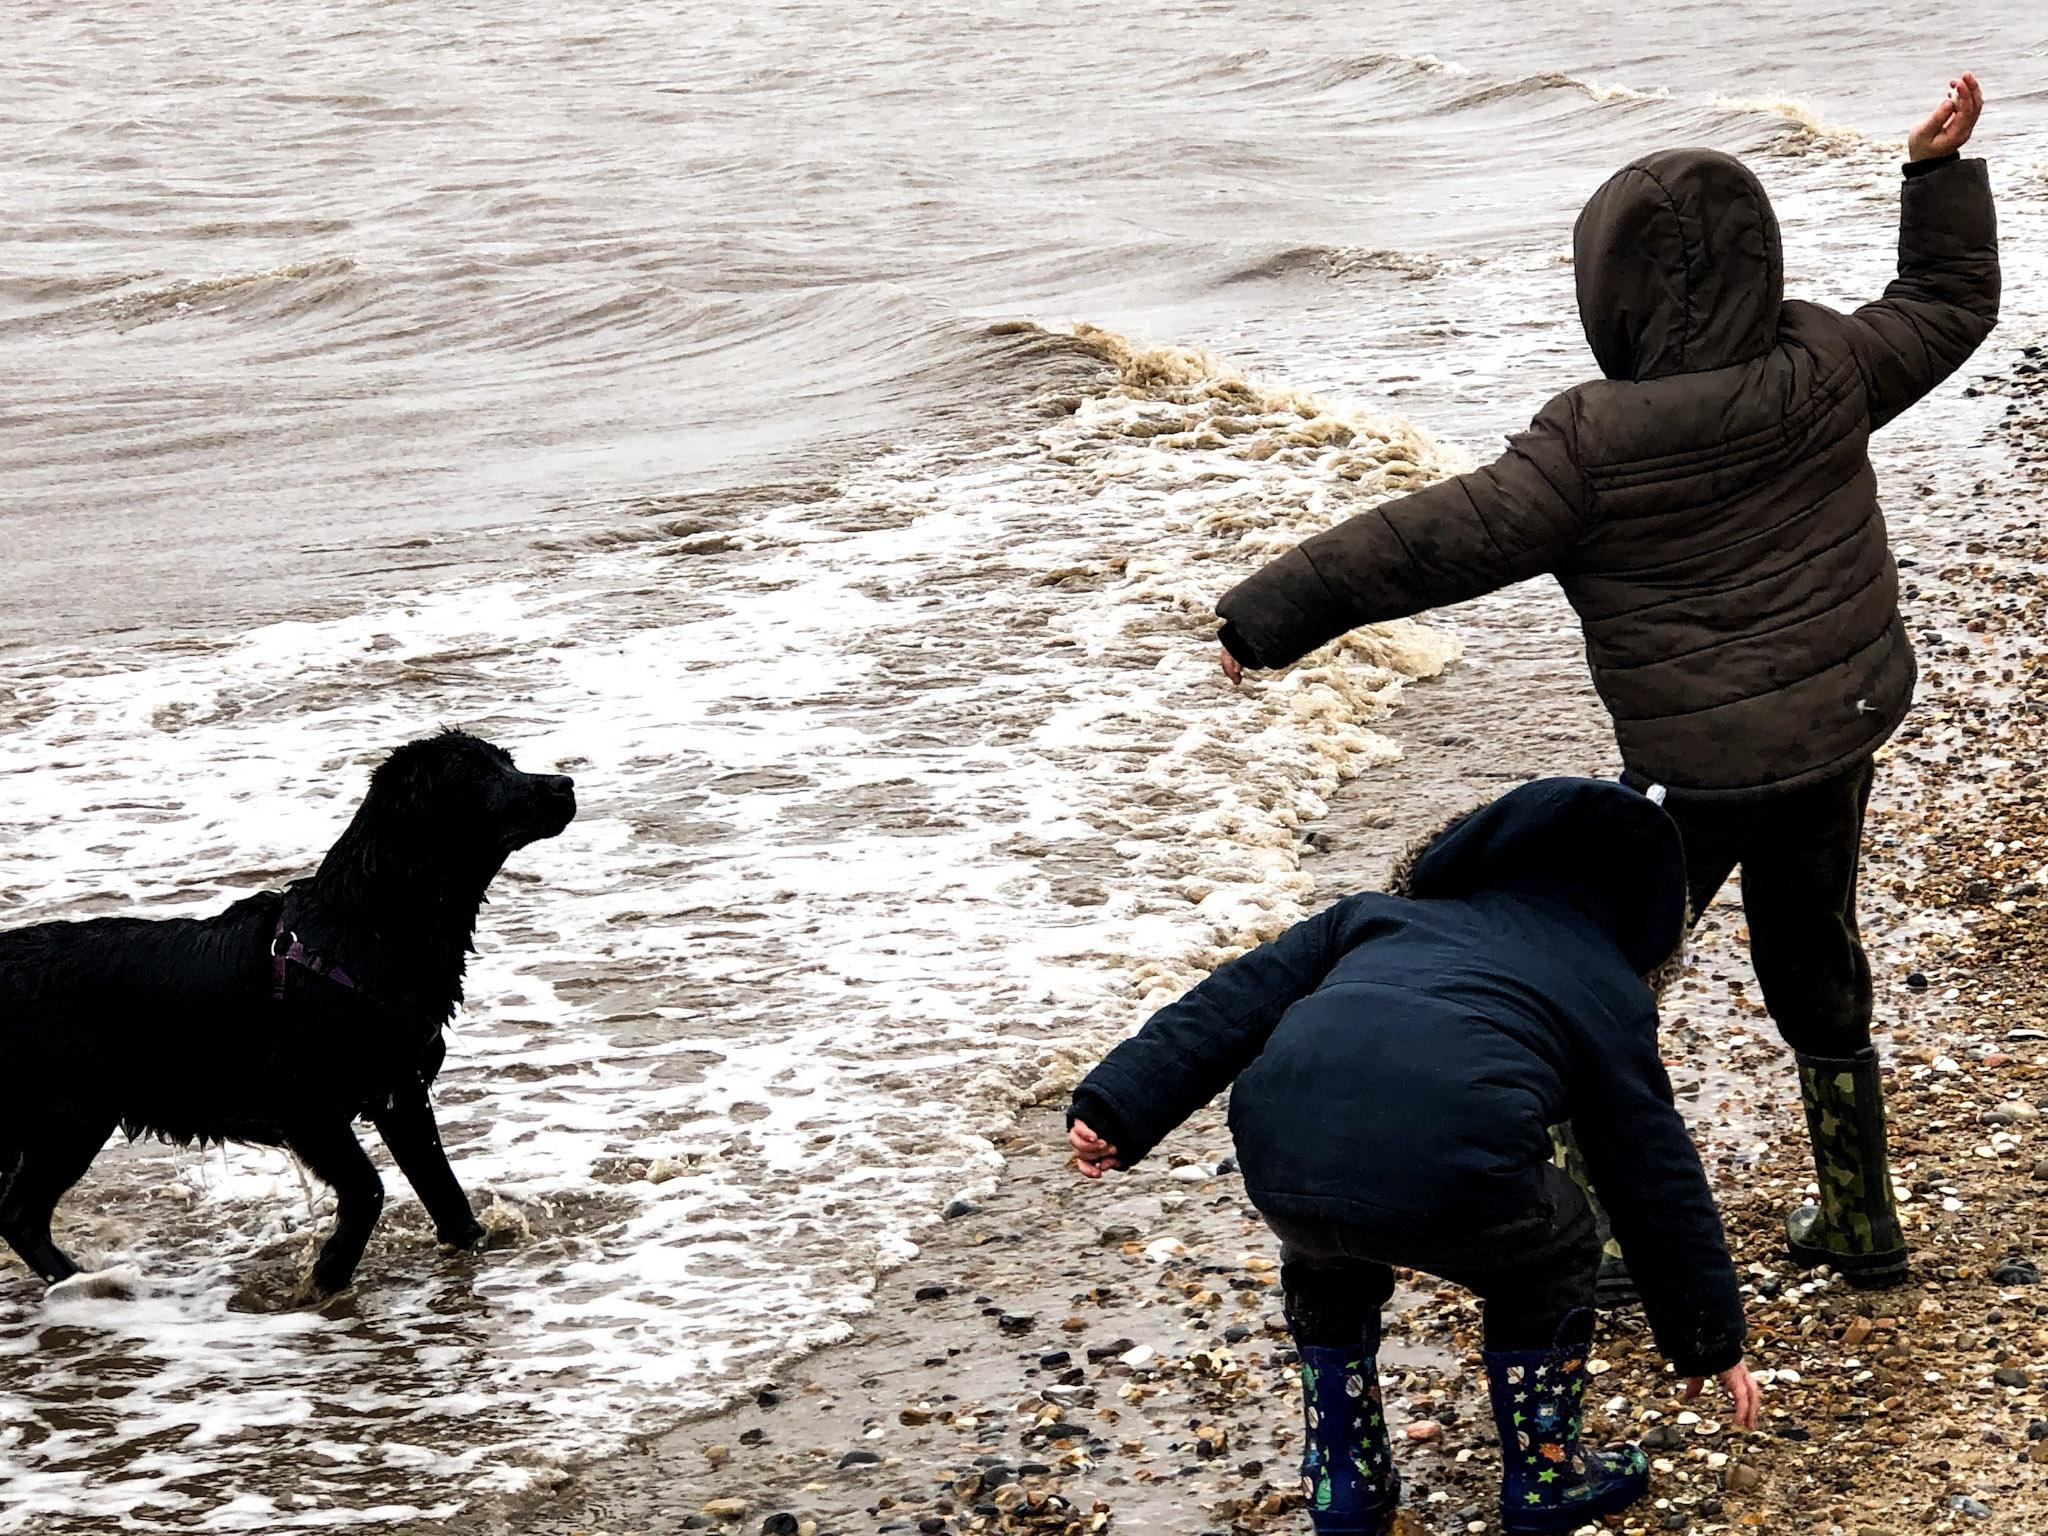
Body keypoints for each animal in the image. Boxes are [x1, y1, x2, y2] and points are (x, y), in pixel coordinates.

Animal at [0, 733, 577, 1302]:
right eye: (473, 775)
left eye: (507, 762)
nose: (565, 784)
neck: (363, 929)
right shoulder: (308, 1109)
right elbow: (369, 1189)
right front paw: (326, 1275)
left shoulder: (402, 1094)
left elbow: (446, 1196)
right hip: (71, 1118)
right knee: (19, 1215)